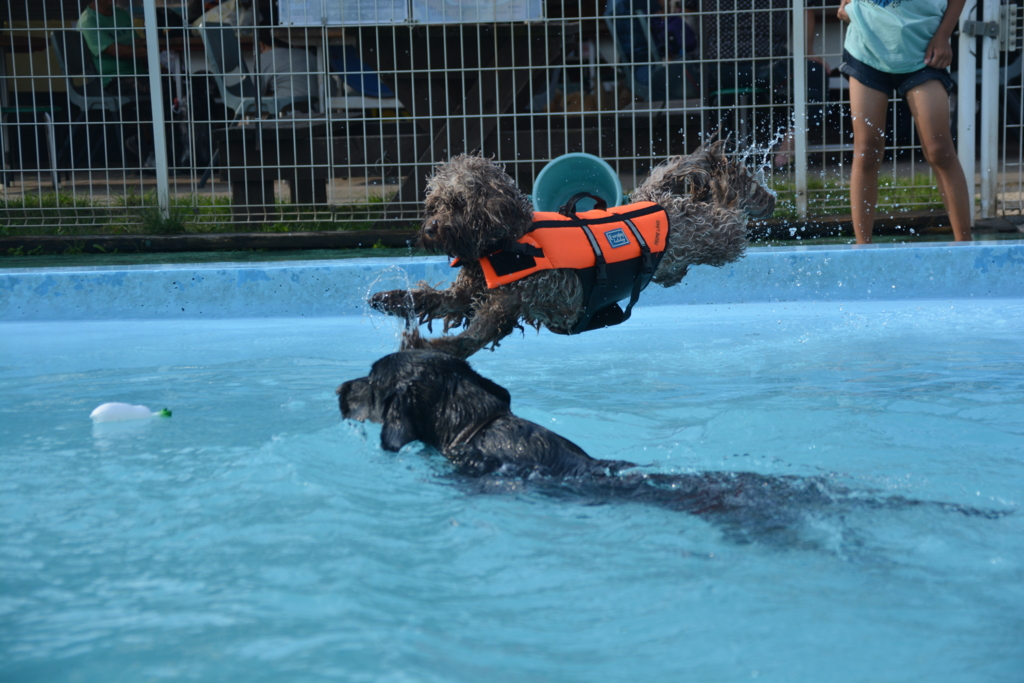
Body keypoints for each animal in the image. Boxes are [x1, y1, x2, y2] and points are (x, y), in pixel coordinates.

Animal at [368, 139, 774, 358]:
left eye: (456, 204)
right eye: (433, 204)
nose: (430, 229)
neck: (508, 240)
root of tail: (656, 202)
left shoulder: (511, 301)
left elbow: (471, 338)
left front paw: (425, 348)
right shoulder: (468, 293)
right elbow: (435, 299)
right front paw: (391, 298)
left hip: (717, 237)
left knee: (729, 206)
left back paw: (741, 185)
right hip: (679, 258)